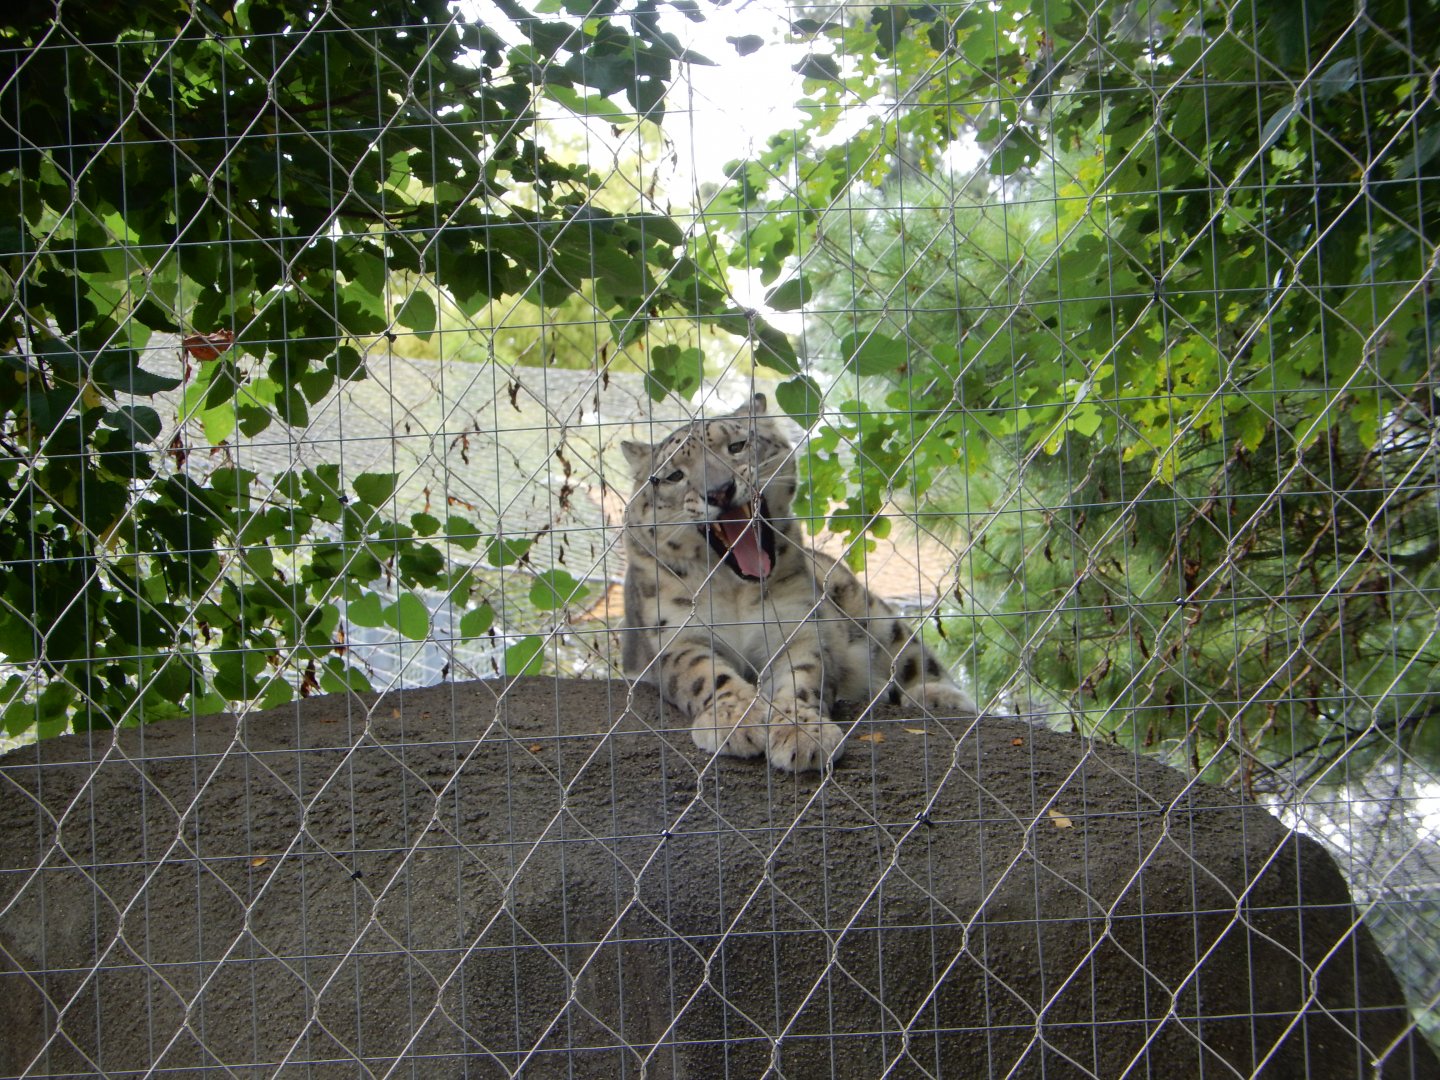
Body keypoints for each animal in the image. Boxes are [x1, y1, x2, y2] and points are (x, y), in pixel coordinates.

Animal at [619, 394, 978, 773]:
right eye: (673, 475)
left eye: (737, 445)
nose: (718, 492)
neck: (732, 587)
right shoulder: (678, 637)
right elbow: (704, 673)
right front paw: (735, 719)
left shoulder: (796, 627)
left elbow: (800, 677)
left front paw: (801, 734)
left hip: (871, 612)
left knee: (912, 659)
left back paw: (940, 696)